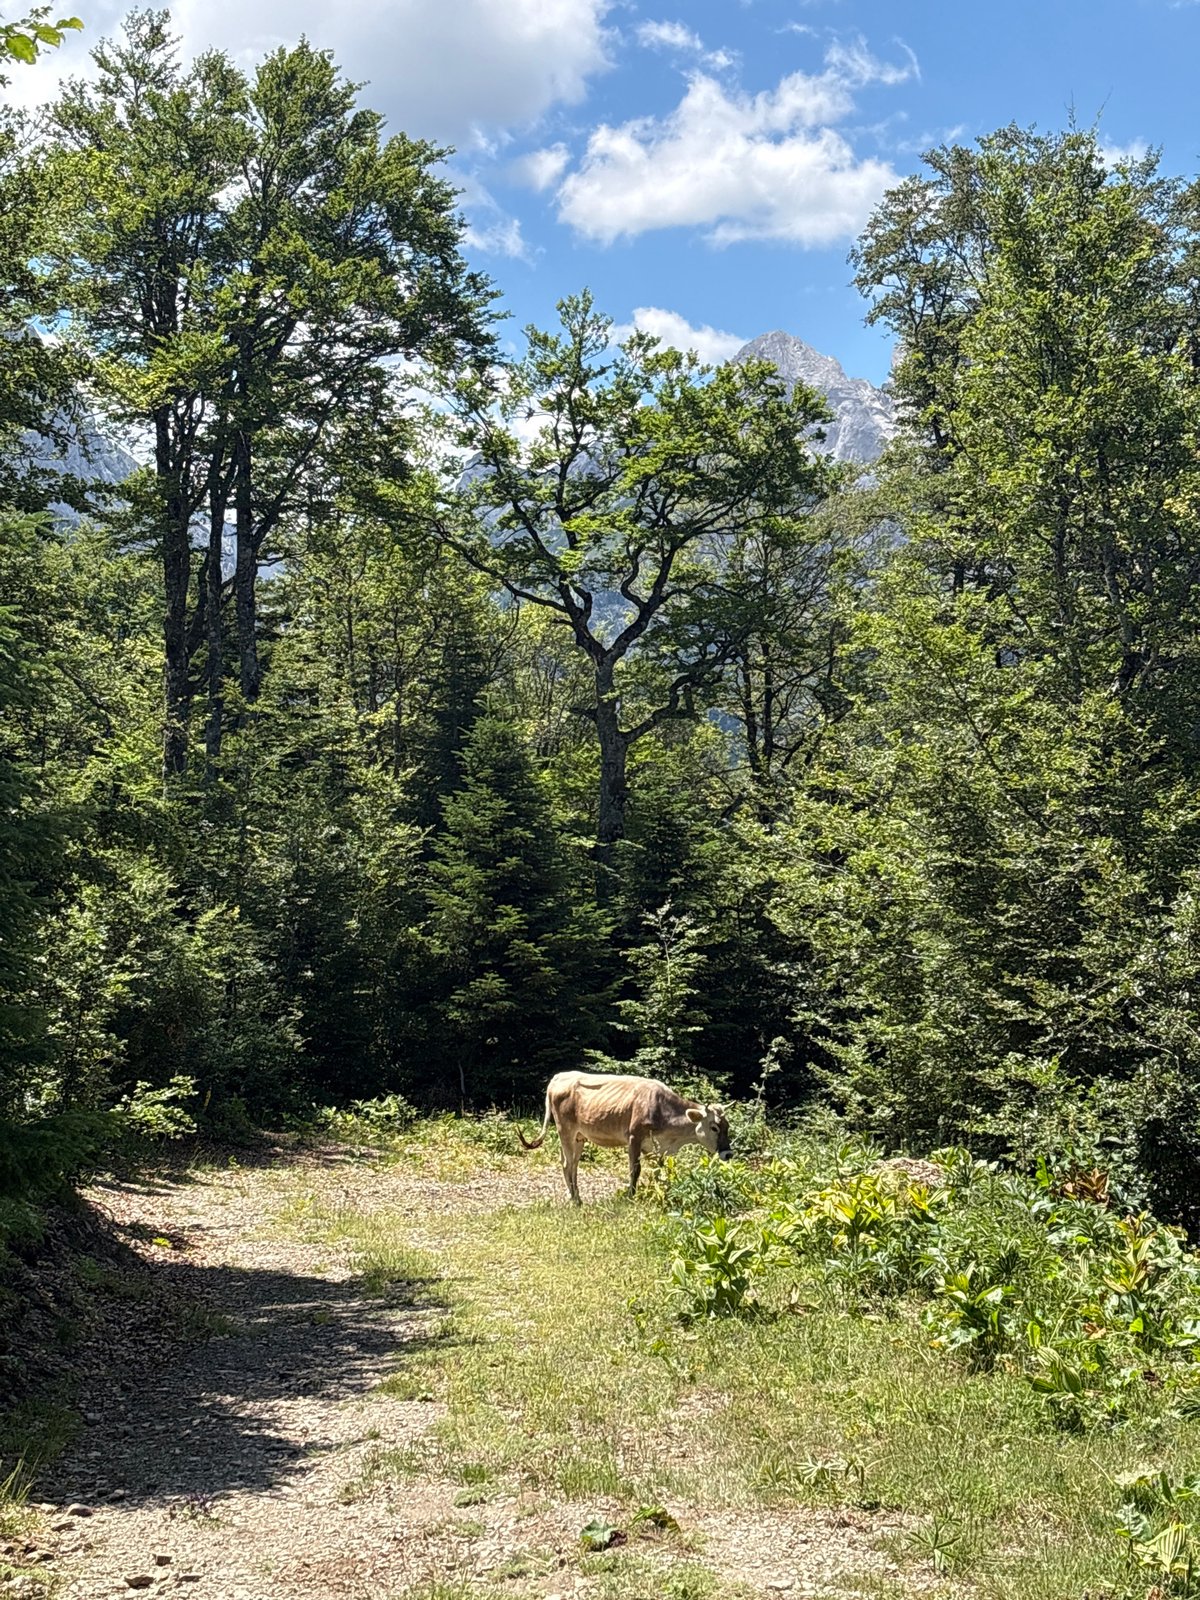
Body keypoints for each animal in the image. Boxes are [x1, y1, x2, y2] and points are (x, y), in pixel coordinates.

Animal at [518, 1069, 732, 1205]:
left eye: (727, 1126)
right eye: (714, 1127)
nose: (728, 1153)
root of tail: (558, 1076)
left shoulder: (657, 1148)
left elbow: (659, 1172)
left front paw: (661, 1192)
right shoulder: (634, 1137)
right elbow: (634, 1170)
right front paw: (631, 1197)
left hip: (579, 1136)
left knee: (572, 1164)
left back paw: (577, 1197)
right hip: (565, 1131)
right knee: (567, 1164)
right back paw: (575, 1200)